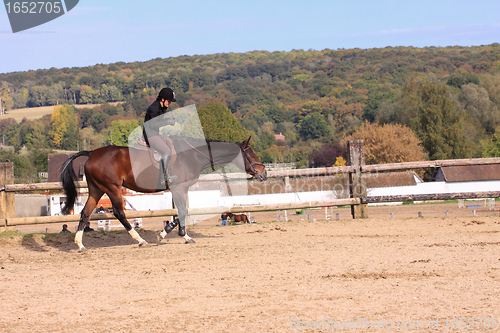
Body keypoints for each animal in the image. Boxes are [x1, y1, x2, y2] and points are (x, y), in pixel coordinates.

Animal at [59, 134, 266, 250]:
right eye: (251, 154)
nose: (263, 173)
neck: (193, 155)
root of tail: (91, 153)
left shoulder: (180, 189)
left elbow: (182, 212)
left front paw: (170, 233)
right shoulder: (179, 187)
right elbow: (181, 212)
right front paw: (178, 235)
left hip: (96, 190)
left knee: (85, 213)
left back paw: (80, 244)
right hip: (112, 188)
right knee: (119, 213)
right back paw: (140, 240)